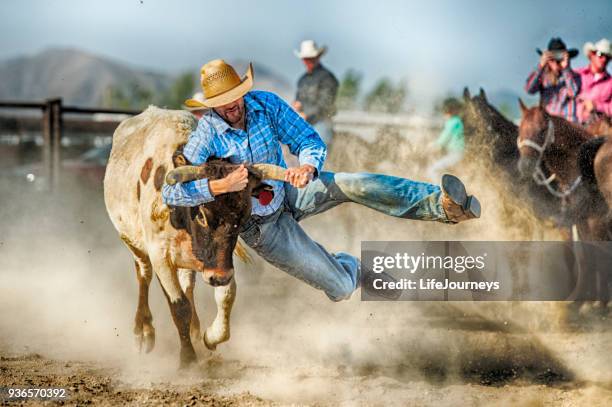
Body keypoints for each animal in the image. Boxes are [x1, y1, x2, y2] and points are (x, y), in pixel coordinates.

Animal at [520, 100, 608, 308]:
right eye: (521, 129)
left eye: (542, 130)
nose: (525, 165)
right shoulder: (581, 221)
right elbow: (587, 257)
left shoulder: (596, 222)